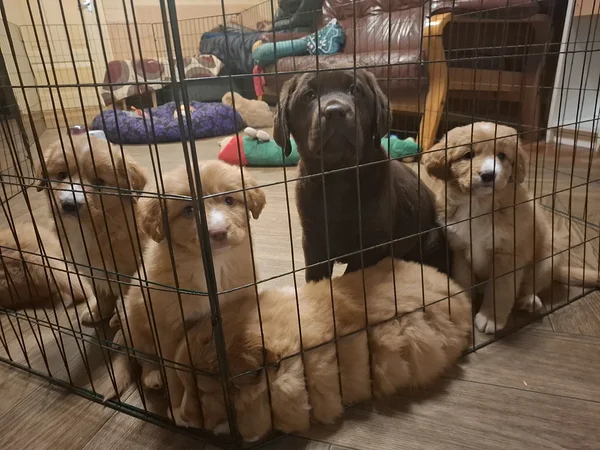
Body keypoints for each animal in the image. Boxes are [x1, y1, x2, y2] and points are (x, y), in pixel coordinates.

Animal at [35, 134, 147, 325]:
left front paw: (123, 320)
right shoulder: (91, 271)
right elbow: (101, 296)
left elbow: (130, 299)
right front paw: (97, 313)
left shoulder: (129, 272)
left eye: (99, 182)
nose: (69, 205)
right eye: (61, 175)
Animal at [100, 160, 266, 408]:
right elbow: (174, 371)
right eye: (188, 211)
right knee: (145, 357)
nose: (218, 233)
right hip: (135, 322)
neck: (212, 268)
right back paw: (153, 377)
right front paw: (179, 406)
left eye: (229, 200)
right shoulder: (169, 328)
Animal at [273, 67, 451, 282]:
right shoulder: (313, 239)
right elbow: (316, 277)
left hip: (432, 240)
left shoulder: (373, 244)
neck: (339, 177)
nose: (335, 111)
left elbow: (353, 274)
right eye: (309, 95)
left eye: (355, 91)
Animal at [421, 122, 600, 334]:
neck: (479, 205)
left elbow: (501, 290)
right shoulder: (459, 251)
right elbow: (463, 281)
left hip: (550, 256)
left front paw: (490, 318)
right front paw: (464, 304)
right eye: (468, 155)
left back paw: (528, 301)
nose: (489, 175)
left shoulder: (509, 256)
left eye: (502, 156)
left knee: (530, 284)